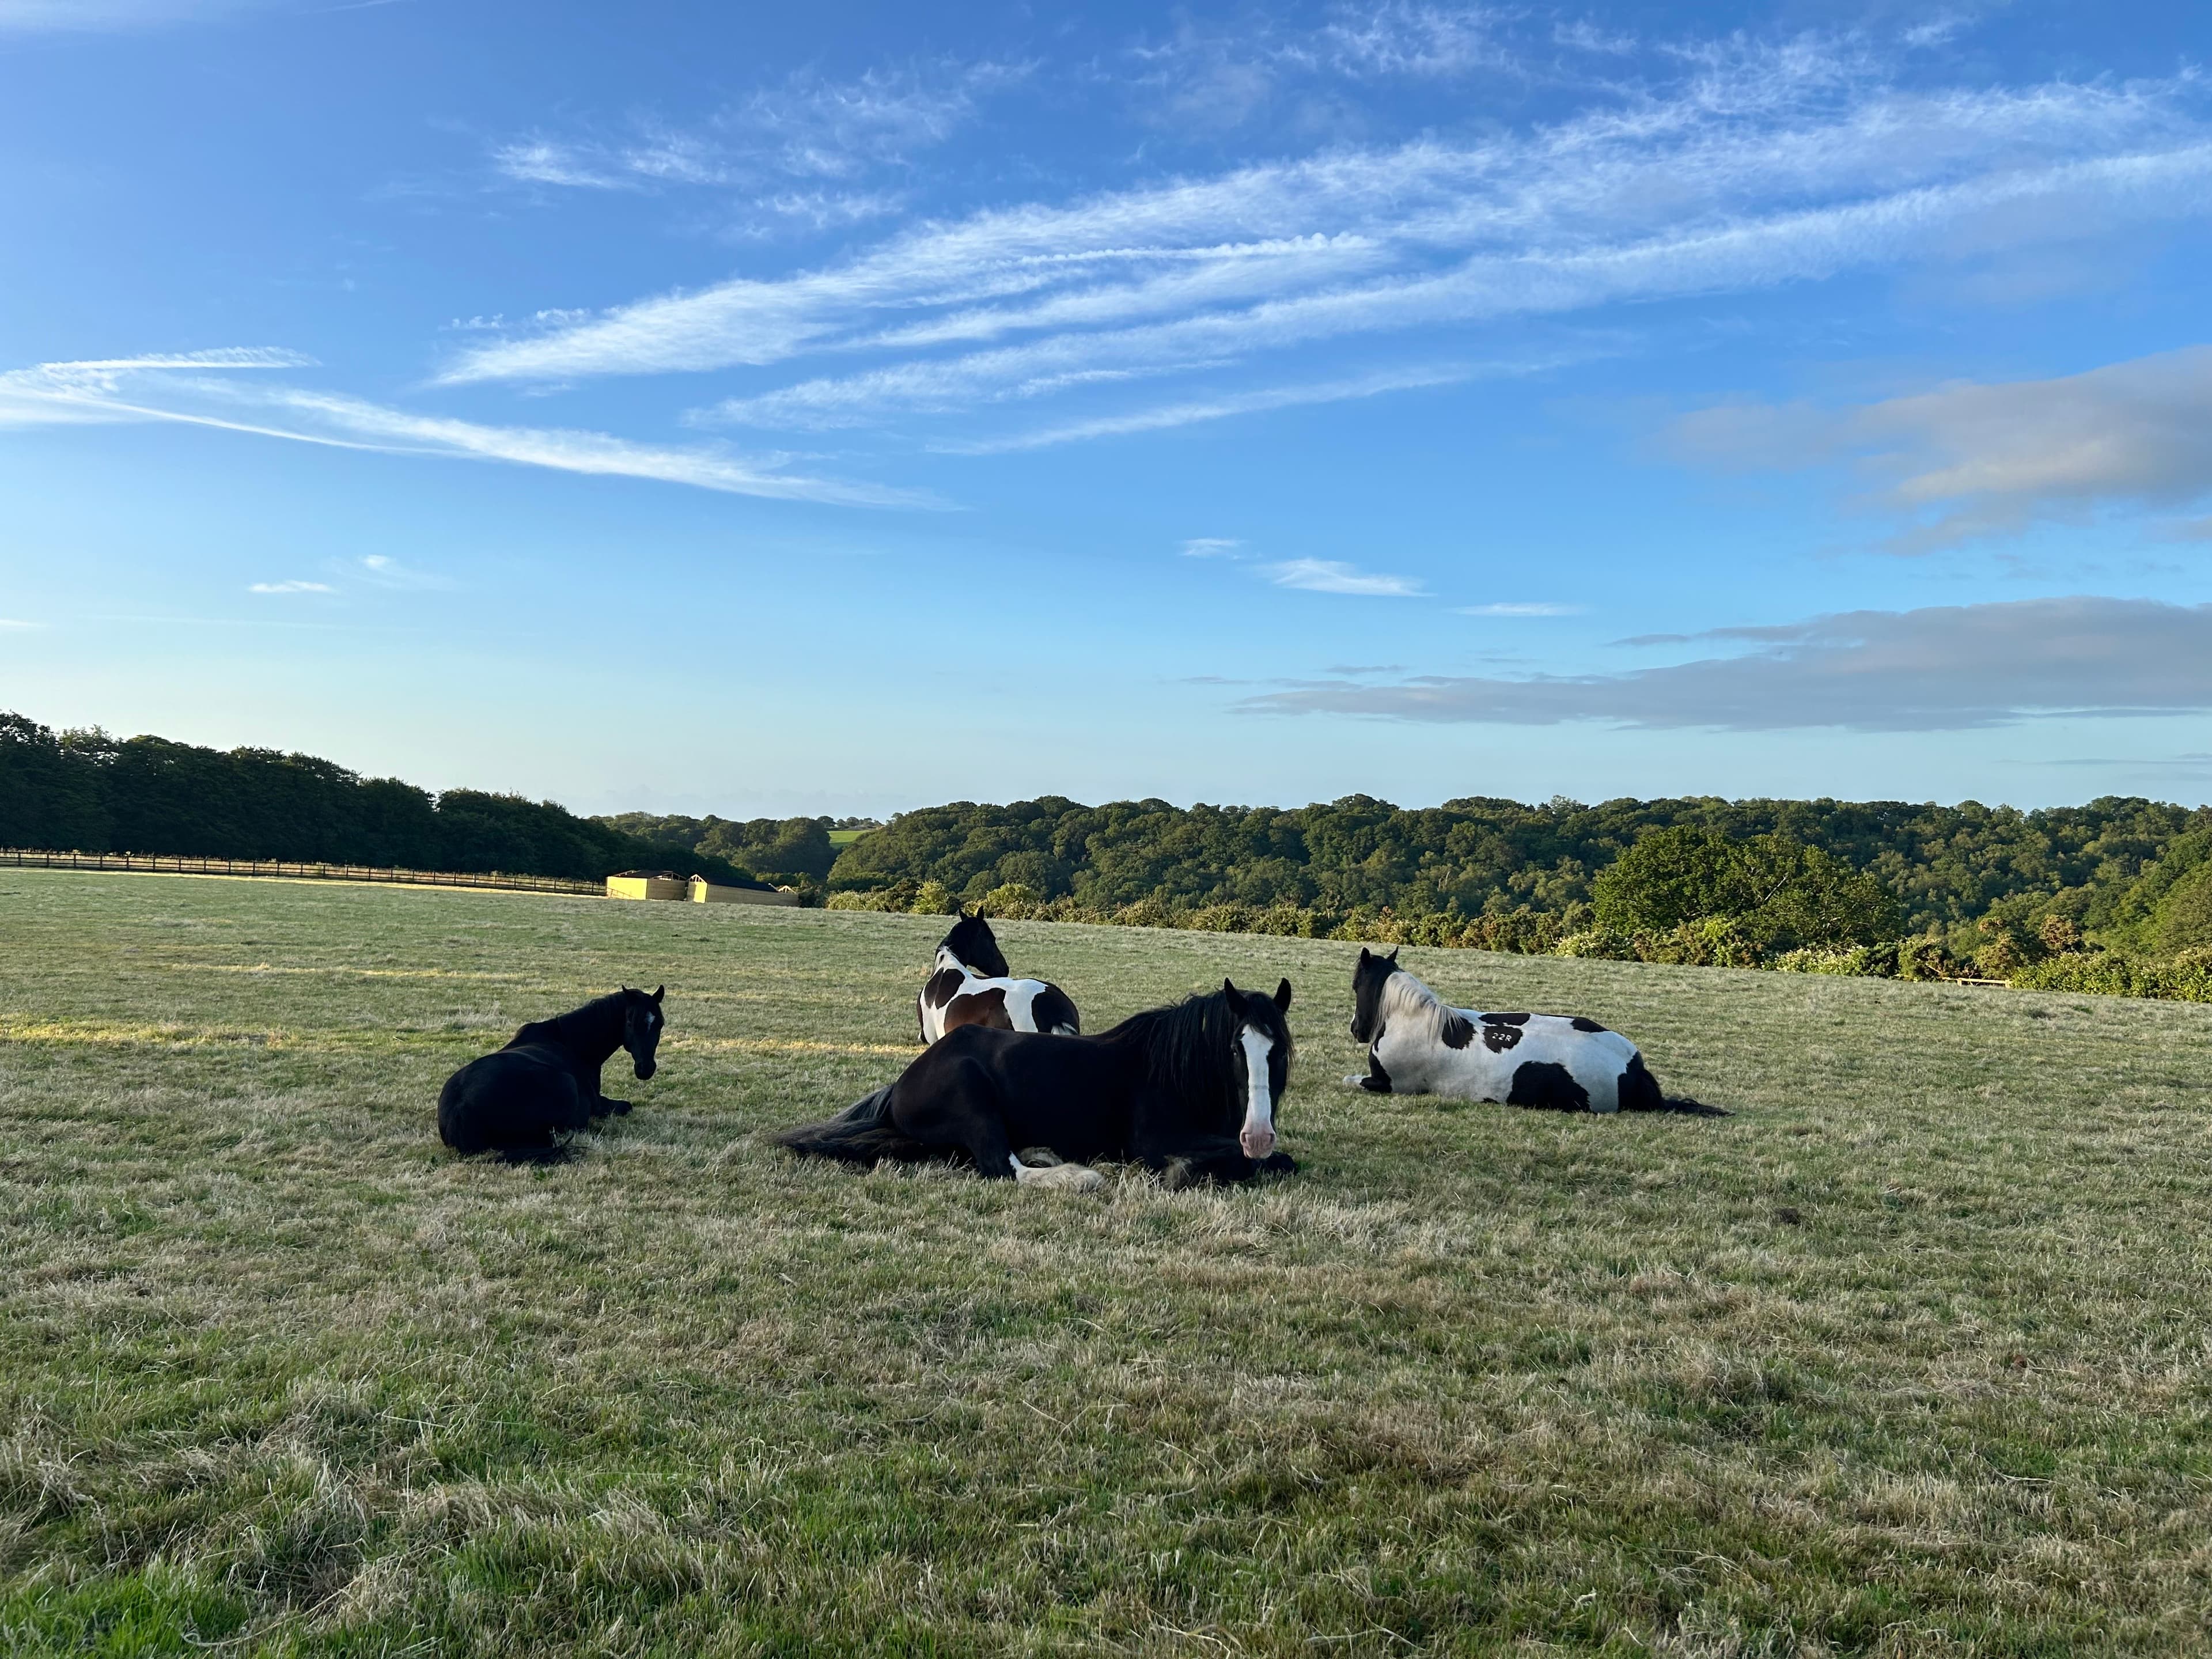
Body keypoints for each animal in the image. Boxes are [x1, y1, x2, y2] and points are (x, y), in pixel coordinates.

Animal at [438, 986, 666, 1159]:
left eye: (660, 1024)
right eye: (630, 1022)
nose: (645, 1069)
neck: (570, 1043)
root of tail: (459, 1108)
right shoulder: (600, 1105)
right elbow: (627, 1106)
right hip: (566, 1085)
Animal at [781, 977, 1298, 1189]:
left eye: (1278, 1051)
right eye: (1235, 1049)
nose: (1258, 1135)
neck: (1173, 1072)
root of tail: (902, 1083)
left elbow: (1278, 1161)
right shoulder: (1154, 1141)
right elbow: (1256, 1161)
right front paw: (1183, 1171)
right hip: (973, 1101)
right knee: (999, 1166)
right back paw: (1076, 1176)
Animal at [1345, 949, 1721, 1115]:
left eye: (1355, 985)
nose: (1357, 1030)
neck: (1416, 1021)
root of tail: (1633, 1068)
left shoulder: (1388, 1085)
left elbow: (1349, 1080)